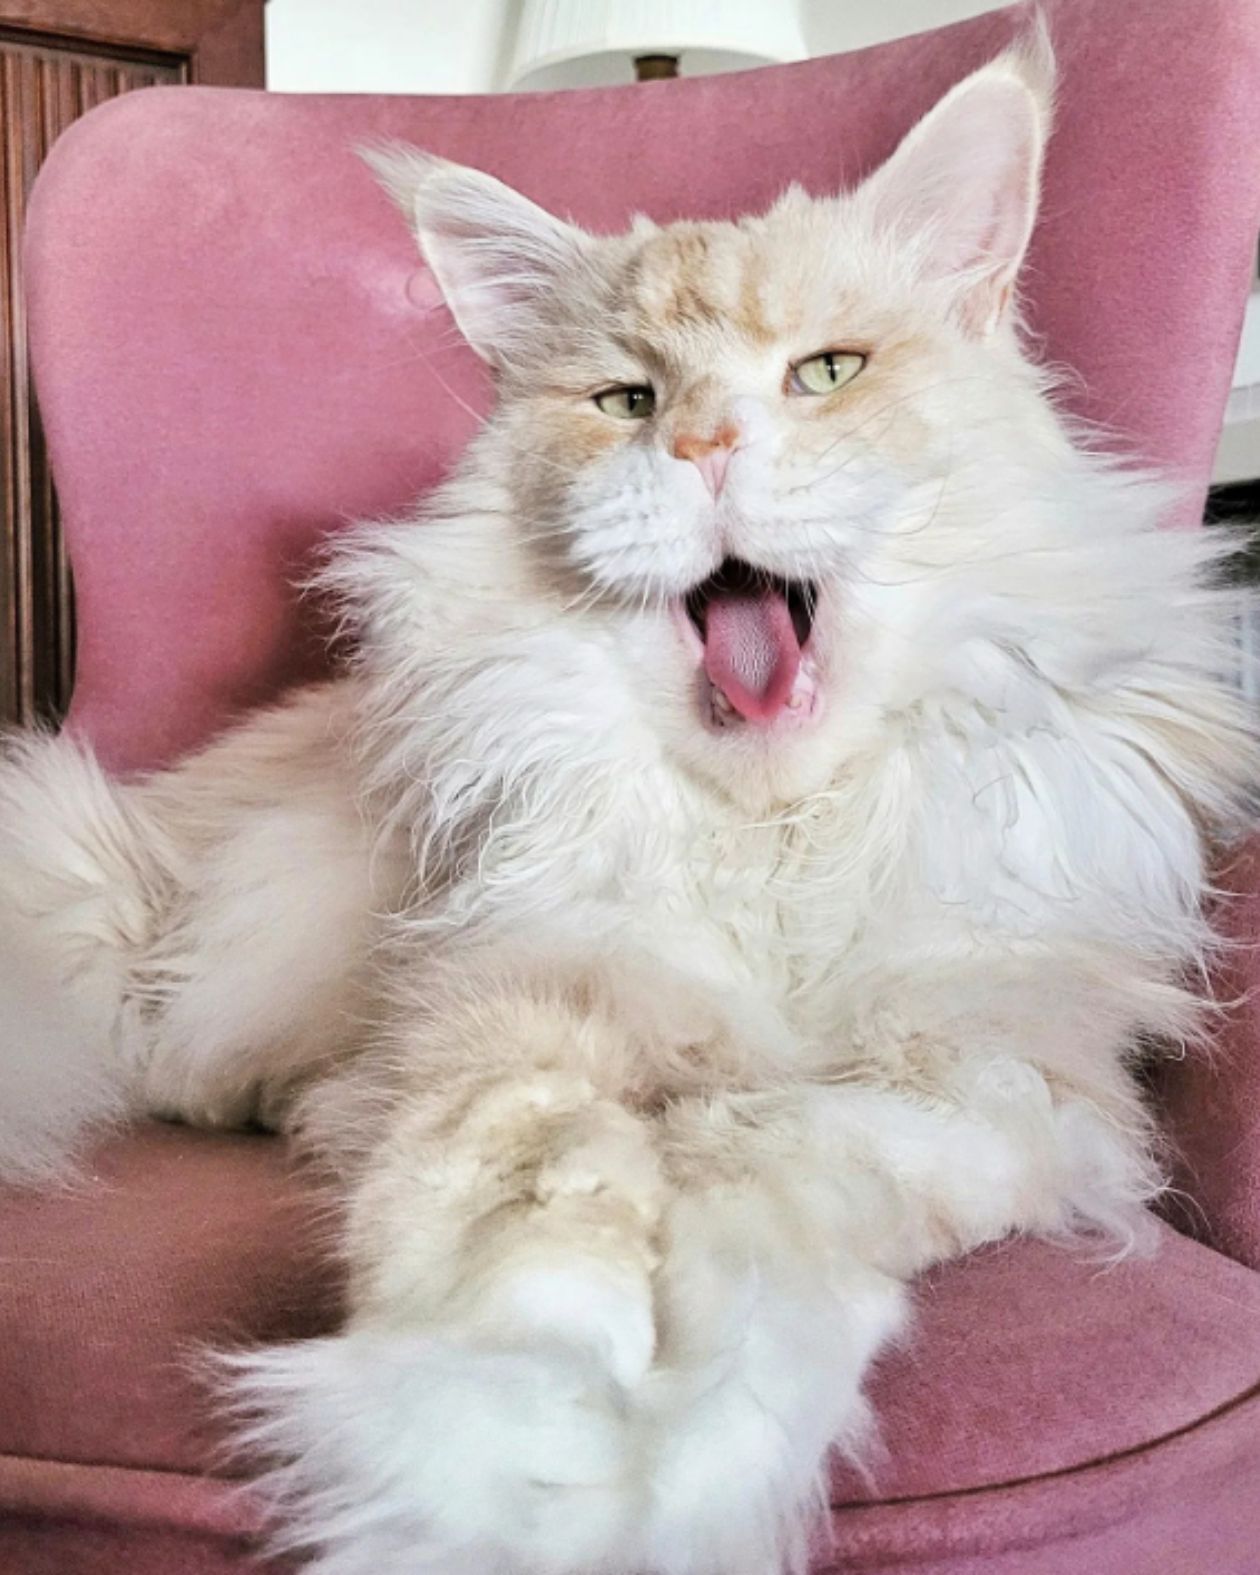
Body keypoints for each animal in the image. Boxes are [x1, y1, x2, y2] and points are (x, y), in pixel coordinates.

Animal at [2, 30, 1260, 1575]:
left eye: (826, 372)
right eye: (627, 404)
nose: (706, 445)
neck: (777, 835)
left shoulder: (1034, 1067)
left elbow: (841, 1171)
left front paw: (706, 1311)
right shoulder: (512, 1002)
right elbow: (517, 1233)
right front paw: (508, 1476)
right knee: (191, 1063)